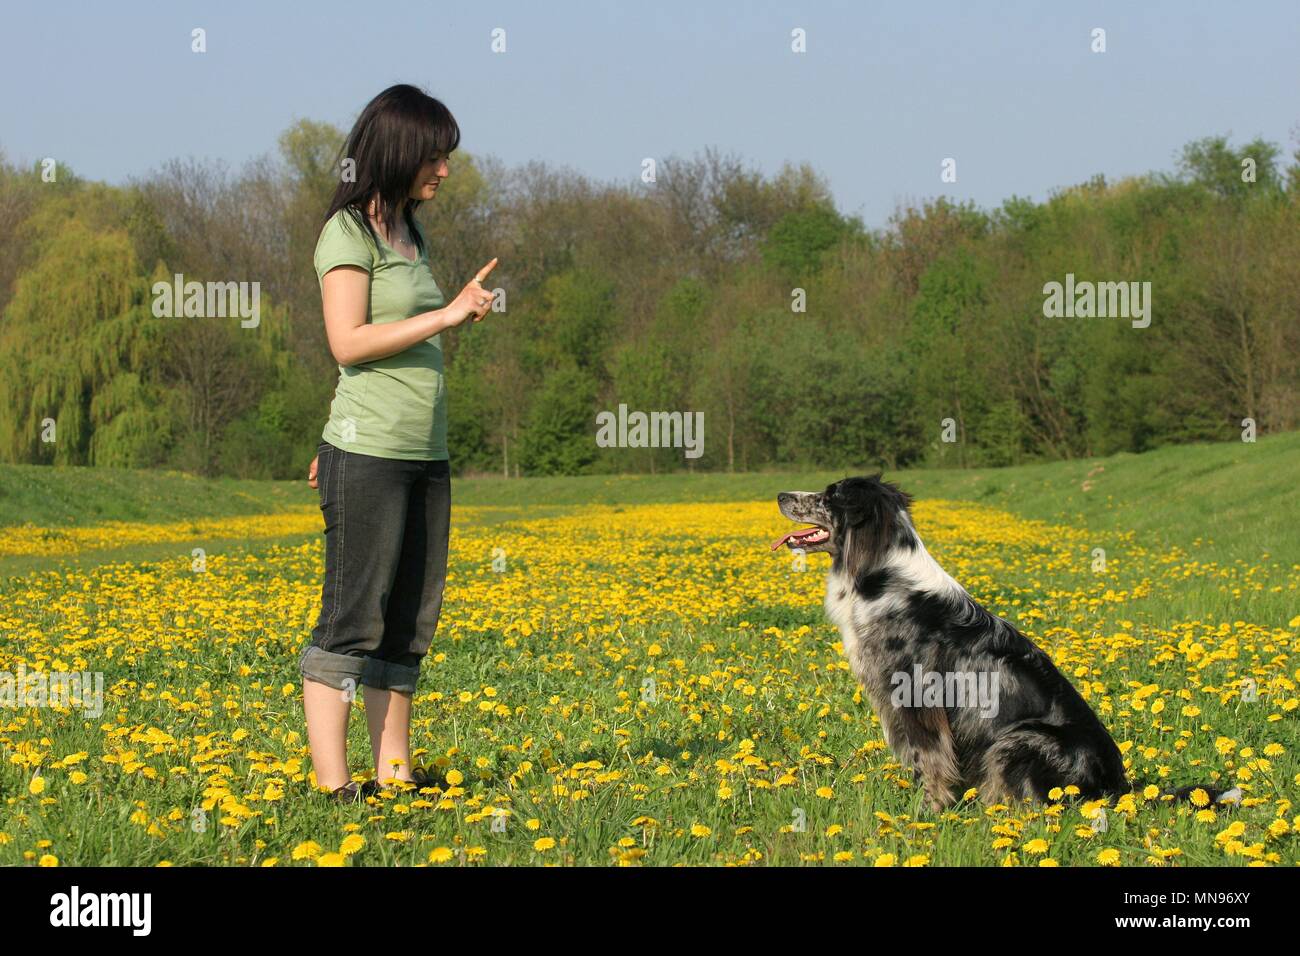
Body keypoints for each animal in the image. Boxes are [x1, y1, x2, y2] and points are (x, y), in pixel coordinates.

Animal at [774, 476, 1232, 811]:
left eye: (829, 495)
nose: (779, 494)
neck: (880, 574)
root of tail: (1116, 786)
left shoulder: (916, 698)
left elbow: (929, 761)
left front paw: (925, 816)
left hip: (1020, 738)